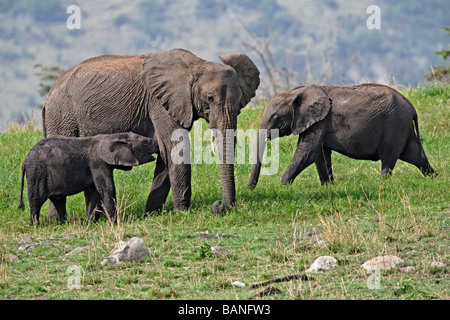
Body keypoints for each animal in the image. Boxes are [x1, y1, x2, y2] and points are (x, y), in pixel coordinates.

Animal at [19, 132, 160, 225]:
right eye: (146, 142)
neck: (113, 136)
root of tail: (25, 161)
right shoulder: (97, 162)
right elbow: (107, 188)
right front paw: (114, 223)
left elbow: (95, 193)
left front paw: (90, 224)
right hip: (36, 173)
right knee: (36, 201)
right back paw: (35, 225)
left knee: (58, 200)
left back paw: (63, 224)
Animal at [43, 48, 260, 216]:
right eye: (209, 99)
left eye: (239, 102)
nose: (218, 206)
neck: (196, 65)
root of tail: (48, 97)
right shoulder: (159, 102)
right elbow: (176, 147)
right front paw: (183, 212)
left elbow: (166, 153)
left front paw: (152, 213)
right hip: (63, 116)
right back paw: (58, 222)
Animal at [250, 83, 436, 190]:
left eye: (276, 118)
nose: (250, 188)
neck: (296, 92)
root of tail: (411, 107)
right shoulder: (319, 123)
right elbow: (321, 155)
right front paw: (327, 187)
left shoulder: (320, 122)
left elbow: (307, 152)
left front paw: (283, 186)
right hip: (402, 127)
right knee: (415, 156)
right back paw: (434, 177)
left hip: (394, 125)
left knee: (389, 158)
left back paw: (381, 183)